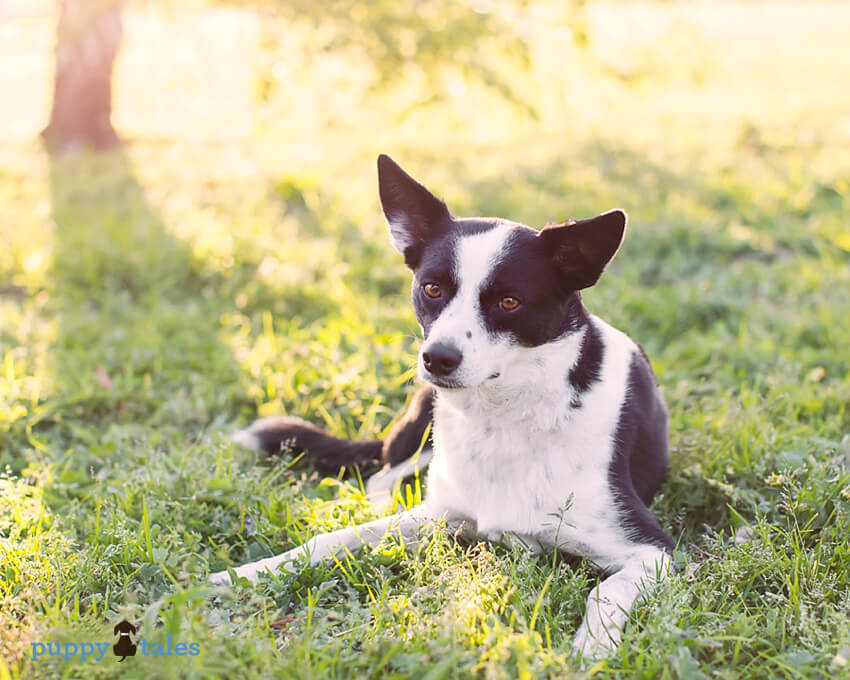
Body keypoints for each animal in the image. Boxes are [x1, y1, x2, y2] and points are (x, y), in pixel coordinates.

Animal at [209, 153, 672, 660]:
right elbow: (329, 539)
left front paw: (592, 647)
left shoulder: (653, 550)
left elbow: (607, 590)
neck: (506, 414)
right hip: (421, 421)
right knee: (382, 474)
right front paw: (249, 572)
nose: (438, 358)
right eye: (432, 289)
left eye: (509, 301)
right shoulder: (439, 513)